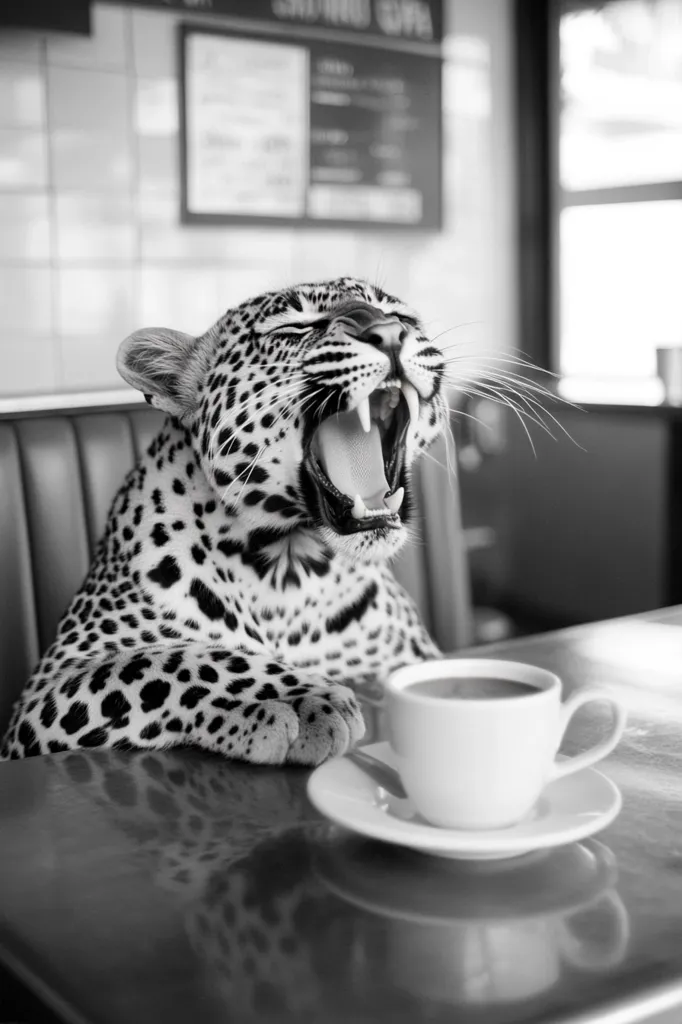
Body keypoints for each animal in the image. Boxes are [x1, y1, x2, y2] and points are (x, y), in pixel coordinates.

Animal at [1, 276, 447, 765]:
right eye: (295, 327)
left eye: (401, 316)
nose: (390, 334)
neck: (291, 567)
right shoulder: (52, 683)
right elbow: (169, 659)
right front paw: (297, 698)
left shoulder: (411, 659)